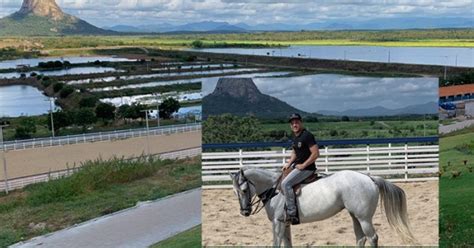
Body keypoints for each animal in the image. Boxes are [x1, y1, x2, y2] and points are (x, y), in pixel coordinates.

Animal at [231, 168, 416, 247]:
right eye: (235, 192)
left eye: (244, 190)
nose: (245, 211)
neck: (275, 190)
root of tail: (369, 178)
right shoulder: (285, 223)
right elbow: (287, 243)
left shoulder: (277, 223)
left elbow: (276, 244)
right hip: (355, 216)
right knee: (361, 238)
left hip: (364, 218)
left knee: (372, 238)